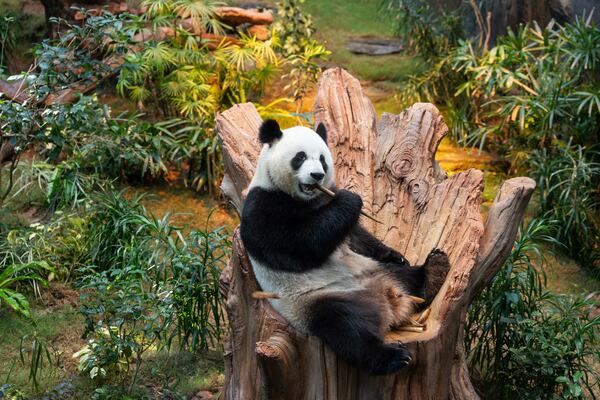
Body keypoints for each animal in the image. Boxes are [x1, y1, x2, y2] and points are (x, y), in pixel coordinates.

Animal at [241, 119, 448, 376]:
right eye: (300, 157)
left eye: (322, 158)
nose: (317, 175)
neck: (306, 199)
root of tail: (386, 301)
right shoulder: (263, 205)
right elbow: (297, 247)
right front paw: (350, 200)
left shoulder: (327, 204)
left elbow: (356, 236)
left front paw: (394, 254)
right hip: (317, 302)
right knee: (347, 330)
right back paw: (392, 357)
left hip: (377, 270)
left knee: (406, 276)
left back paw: (434, 270)